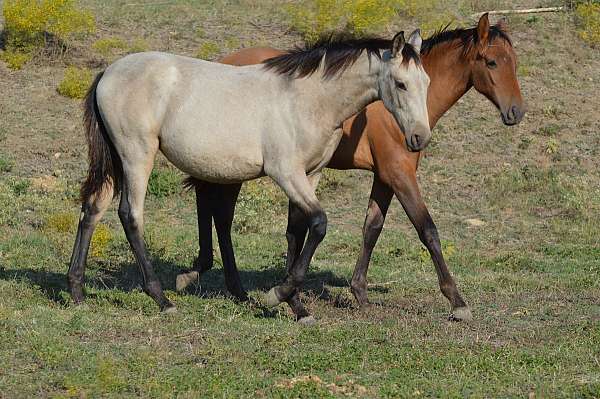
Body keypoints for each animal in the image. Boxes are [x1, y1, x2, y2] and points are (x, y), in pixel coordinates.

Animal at [68, 31, 432, 324]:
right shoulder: (285, 173)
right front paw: (276, 296)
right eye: (400, 83)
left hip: (116, 160)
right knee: (130, 215)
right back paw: (161, 298)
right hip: (136, 155)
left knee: (93, 209)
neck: (307, 99)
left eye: (426, 82)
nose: (419, 138)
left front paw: (297, 307)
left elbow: (300, 231)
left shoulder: (310, 175)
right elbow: (319, 224)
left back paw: (77, 292)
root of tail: (108, 73)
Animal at [178, 14, 524, 324]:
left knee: (213, 208)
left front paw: (358, 293)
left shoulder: (383, 177)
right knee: (221, 215)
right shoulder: (399, 174)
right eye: (492, 62)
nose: (516, 112)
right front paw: (457, 301)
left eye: (513, 62)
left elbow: (371, 228)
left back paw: (222, 280)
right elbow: (427, 230)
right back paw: (220, 280)